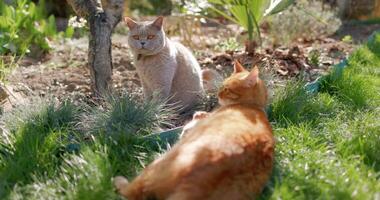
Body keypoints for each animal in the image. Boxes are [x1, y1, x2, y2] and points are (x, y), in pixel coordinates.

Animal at [114, 61, 274, 200]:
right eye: (222, 86)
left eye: (227, 89)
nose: (218, 94)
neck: (253, 106)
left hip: (158, 164)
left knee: (130, 192)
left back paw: (118, 180)